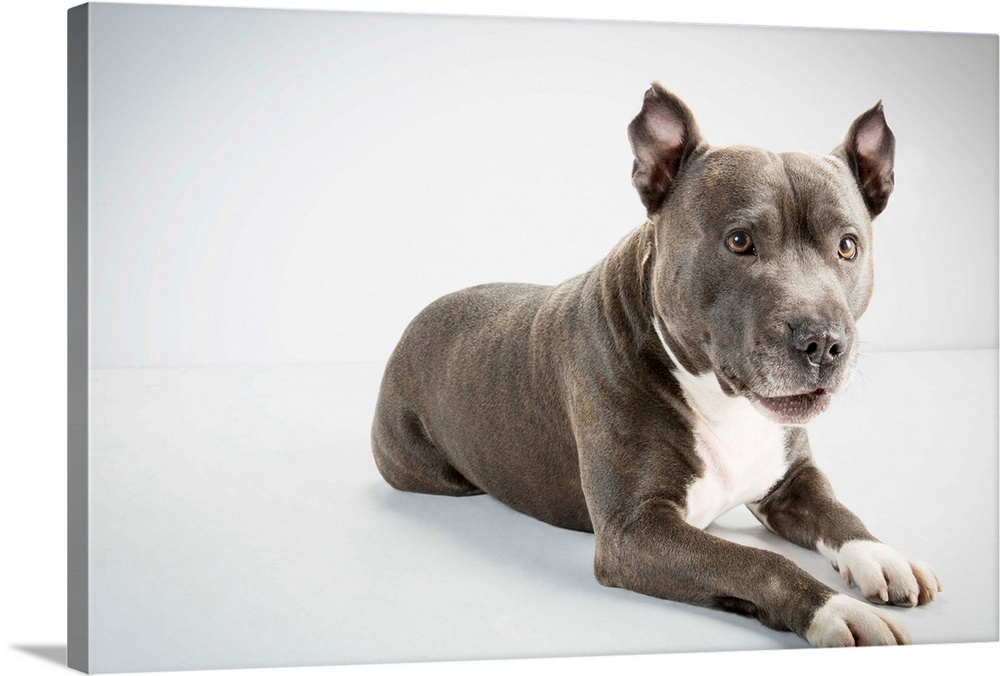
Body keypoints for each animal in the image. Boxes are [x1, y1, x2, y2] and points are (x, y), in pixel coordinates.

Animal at [372, 84, 940, 648]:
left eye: (848, 246)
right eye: (739, 241)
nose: (823, 342)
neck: (722, 403)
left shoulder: (790, 481)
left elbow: (838, 511)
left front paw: (881, 555)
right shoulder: (635, 532)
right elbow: (760, 563)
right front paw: (835, 607)